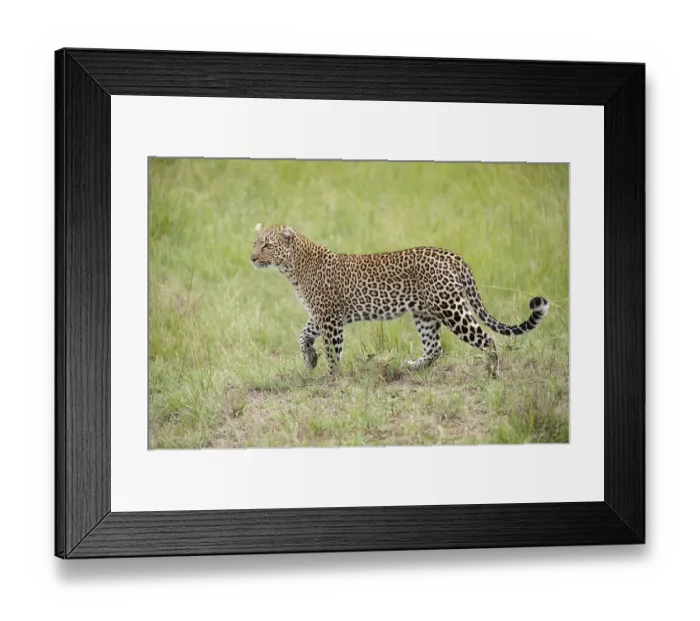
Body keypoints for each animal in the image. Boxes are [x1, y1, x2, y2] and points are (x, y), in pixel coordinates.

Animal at [250, 223, 549, 377]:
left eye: (267, 245)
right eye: (255, 242)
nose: (252, 258)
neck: (293, 268)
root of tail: (452, 256)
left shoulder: (330, 318)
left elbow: (333, 350)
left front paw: (330, 377)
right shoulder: (321, 315)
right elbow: (303, 334)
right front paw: (310, 359)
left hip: (450, 308)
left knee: (487, 338)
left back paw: (492, 372)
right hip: (425, 314)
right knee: (435, 348)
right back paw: (413, 367)